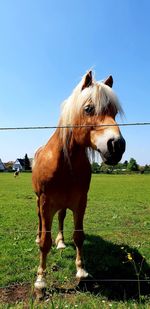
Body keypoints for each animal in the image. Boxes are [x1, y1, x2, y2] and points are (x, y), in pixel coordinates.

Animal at [32, 71, 126, 298]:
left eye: (114, 112)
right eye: (88, 108)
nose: (117, 145)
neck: (64, 162)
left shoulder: (80, 202)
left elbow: (79, 236)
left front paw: (81, 270)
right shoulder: (46, 203)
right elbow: (45, 243)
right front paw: (41, 281)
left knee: (60, 219)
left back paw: (60, 242)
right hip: (40, 201)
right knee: (40, 222)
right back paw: (38, 238)